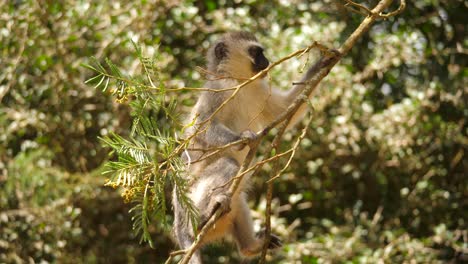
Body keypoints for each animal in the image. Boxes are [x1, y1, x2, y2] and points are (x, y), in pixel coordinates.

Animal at [172, 31, 336, 262]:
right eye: (256, 52)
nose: (266, 61)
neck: (239, 83)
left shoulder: (258, 89)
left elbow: (285, 109)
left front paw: (323, 62)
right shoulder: (217, 91)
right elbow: (202, 127)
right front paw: (244, 138)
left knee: (238, 200)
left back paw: (251, 246)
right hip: (189, 205)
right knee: (228, 164)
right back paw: (204, 218)